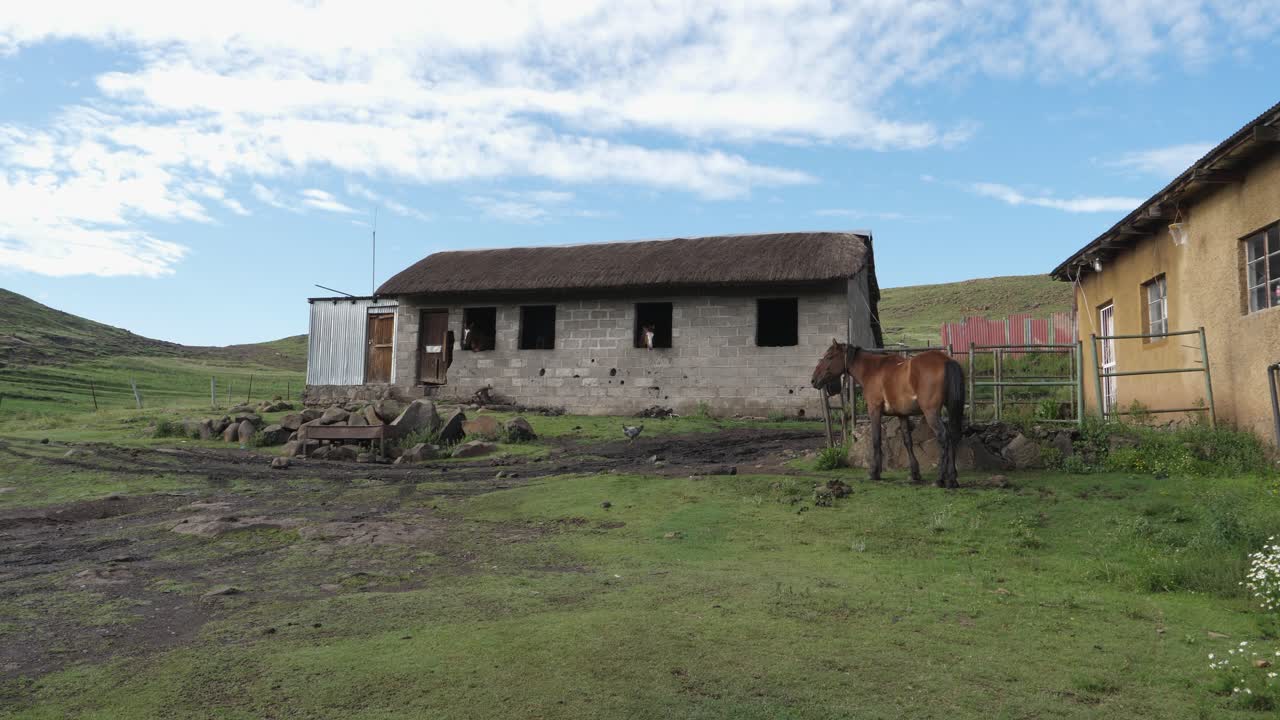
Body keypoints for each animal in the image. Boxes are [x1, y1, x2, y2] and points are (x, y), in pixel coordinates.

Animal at [811, 340, 965, 489]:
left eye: (829, 357)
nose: (813, 380)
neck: (873, 370)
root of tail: (946, 360)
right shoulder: (902, 415)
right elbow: (907, 442)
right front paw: (914, 473)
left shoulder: (874, 411)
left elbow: (876, 439)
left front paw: (875, 472)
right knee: (953, 436)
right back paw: (952, 479)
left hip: (931, 413)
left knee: (944, 437)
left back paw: (940, 479)